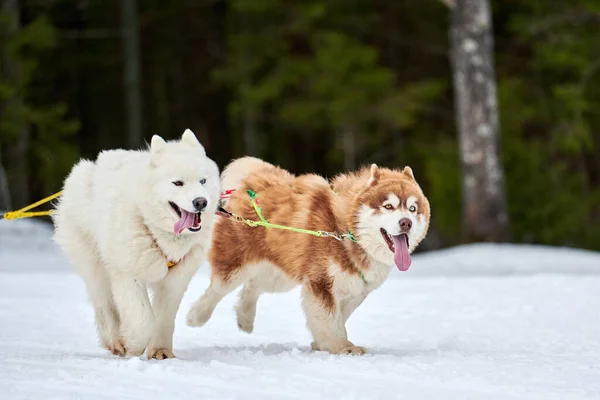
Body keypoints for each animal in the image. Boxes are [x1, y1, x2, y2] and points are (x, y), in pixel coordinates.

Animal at [53, 130, 220, 360]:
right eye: (178, 183)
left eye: (203, 180)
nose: (201, 202)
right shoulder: (127, 275)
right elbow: (144, 321)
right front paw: (131, 345)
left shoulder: (174, 281)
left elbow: (164, 318)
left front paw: (161, 352)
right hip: (96, 267)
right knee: (105, 306)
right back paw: (115, 340)